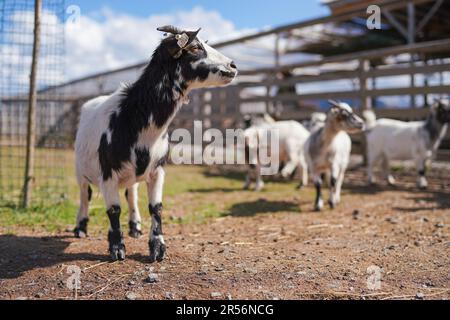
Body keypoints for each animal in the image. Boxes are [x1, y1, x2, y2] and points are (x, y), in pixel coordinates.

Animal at [74, 24, 237, 260]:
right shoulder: (108, 173)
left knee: (131, 194)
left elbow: (156, 207)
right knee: (84, 196)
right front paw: (117, 248)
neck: (132, 118)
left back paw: (135, 226)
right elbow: (113, 209)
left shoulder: (158, 169)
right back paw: (80, 227)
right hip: (80, 171)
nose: (233, 66)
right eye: (195, 47)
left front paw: (157, 246)